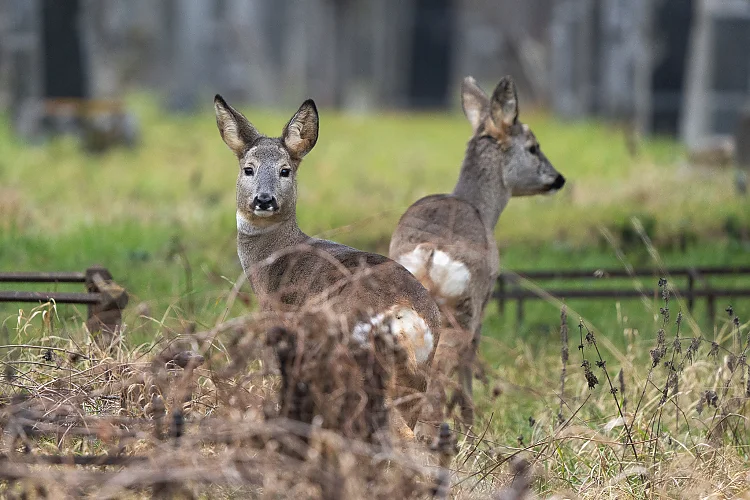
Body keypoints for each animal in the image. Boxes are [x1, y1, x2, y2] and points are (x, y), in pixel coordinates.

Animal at [213, 95, 441, 440]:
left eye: (285, 171)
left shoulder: (284, 328)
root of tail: (405, 312)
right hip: (419, 374)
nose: (264, 200)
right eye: (248, 169)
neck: (272, 261)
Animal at [389, 76, 565, 437]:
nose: (558, 179)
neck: (482, 208)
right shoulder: (485, 300)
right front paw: (469, 423)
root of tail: (428, 253)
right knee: (447, 364)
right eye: (533, 146)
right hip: (462, 309)